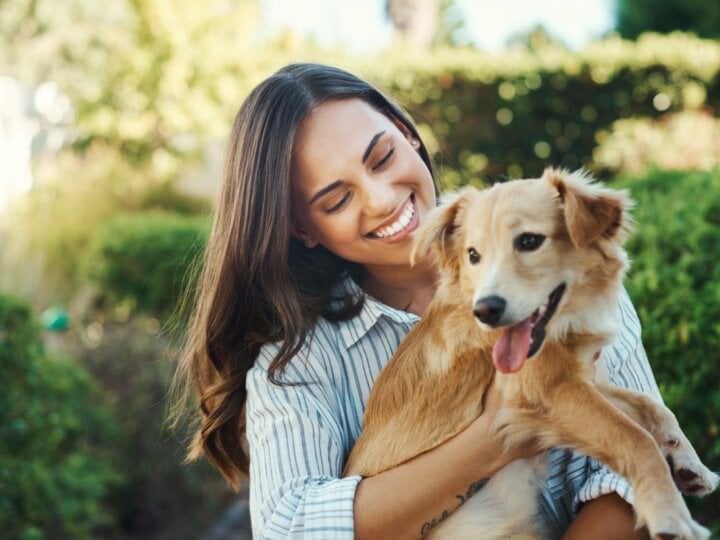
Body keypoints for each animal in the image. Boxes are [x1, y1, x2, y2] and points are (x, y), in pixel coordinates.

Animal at [346, 170, 716, 540]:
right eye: (473, 255)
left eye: (528, 241)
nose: (486, 311)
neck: (564, 322)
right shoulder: (545, 392)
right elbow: (634, 437)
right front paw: (670, 515)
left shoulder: (578, 379)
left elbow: (651, 406)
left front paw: (689, 464)